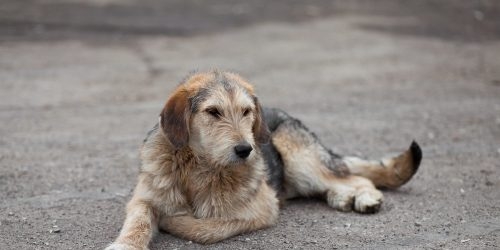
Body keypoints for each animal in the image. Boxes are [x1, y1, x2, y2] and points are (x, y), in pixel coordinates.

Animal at [105, 70, 422, 250]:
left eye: (246, 112)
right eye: (213, 112)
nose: (245, 150)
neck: (199, 166)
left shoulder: (263, 208)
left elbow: (206, 228)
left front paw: (175, 221)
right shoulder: (144, 197)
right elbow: (138, 220)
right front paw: (125, 244)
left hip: (300, 157)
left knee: (354, 176)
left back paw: (365, 197)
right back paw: (341, 197)